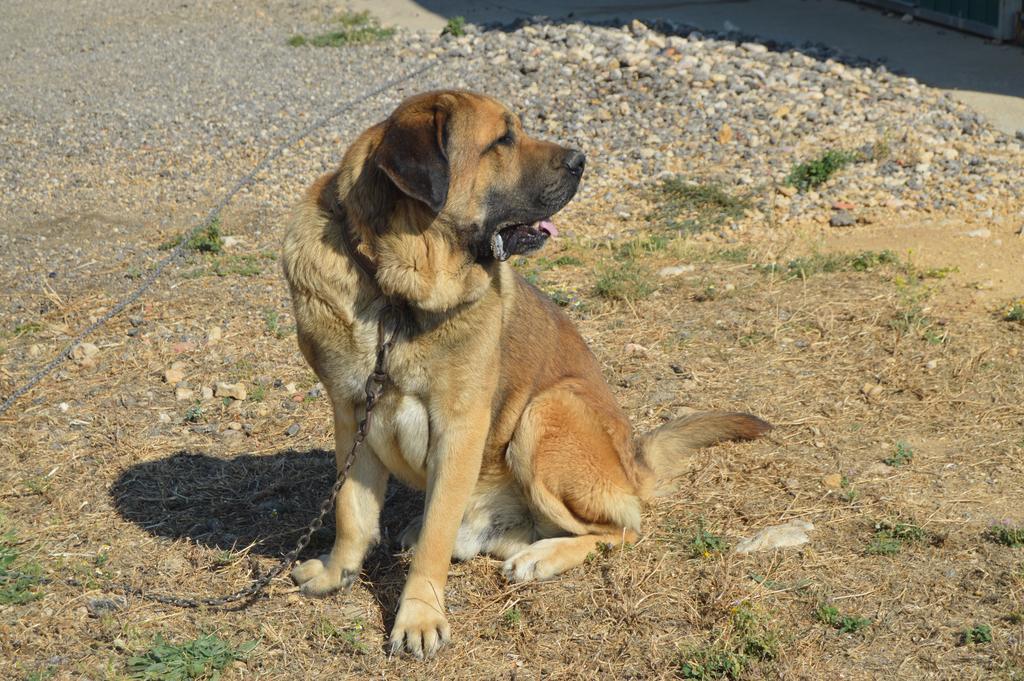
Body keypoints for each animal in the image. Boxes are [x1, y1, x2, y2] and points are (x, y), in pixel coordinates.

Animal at [280, 87, 770, 655]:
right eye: (503, 140)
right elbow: (351, 512)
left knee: (621, 528)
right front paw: (337, 574)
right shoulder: (352, 413)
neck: (395, 289)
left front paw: (419, 615)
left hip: (544, 414)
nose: (582, 160)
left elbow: (432, 541)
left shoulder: (461, 427)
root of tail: (633, 460)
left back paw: (542, 557)